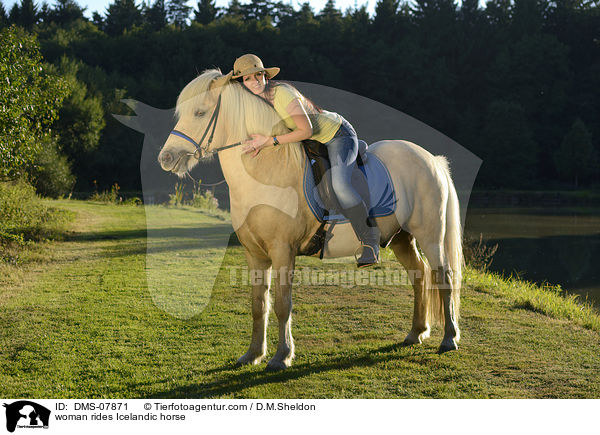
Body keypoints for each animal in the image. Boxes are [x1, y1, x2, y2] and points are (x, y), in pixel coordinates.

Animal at [157, 69, 462, 372]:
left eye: (199, 112)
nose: (166, 157)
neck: (266, 172)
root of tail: (431, 159)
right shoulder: (254, 254)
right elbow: (258, 304)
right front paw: (253, 354)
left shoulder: (283, 251)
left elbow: (282, 304)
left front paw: (281, 357)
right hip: (401, 238)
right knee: (419, 274)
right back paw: (415, 333)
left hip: (430, 236)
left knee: (443, 276)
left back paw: (449, 339)